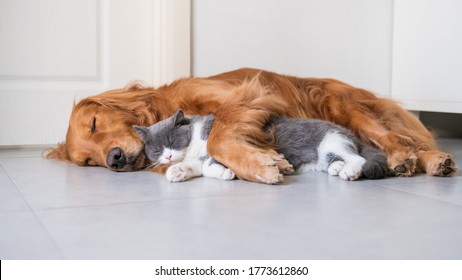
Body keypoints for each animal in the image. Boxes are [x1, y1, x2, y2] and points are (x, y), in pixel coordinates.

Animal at [135, 110, 388, 183]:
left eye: (171, 142)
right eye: (156, 150)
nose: (167, 157)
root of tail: (350, 133)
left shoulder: (220, 145)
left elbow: (208, 165)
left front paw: (227, 173)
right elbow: (196, 167)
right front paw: (177, 171)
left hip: (331, 142)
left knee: (359, 159)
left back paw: (349, 171)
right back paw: (337, 169)